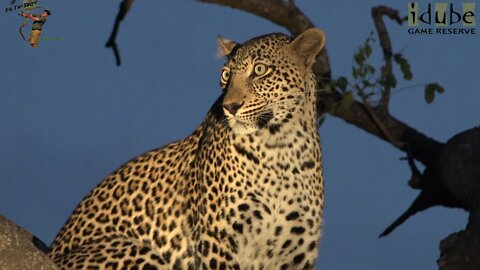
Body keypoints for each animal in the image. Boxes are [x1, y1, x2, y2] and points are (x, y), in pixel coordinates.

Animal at [48, 28, 326, 270]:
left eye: (260, 70)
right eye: (226, 75)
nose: (230, 106)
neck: (280, 145)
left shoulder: (297, 253)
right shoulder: (217, 236)